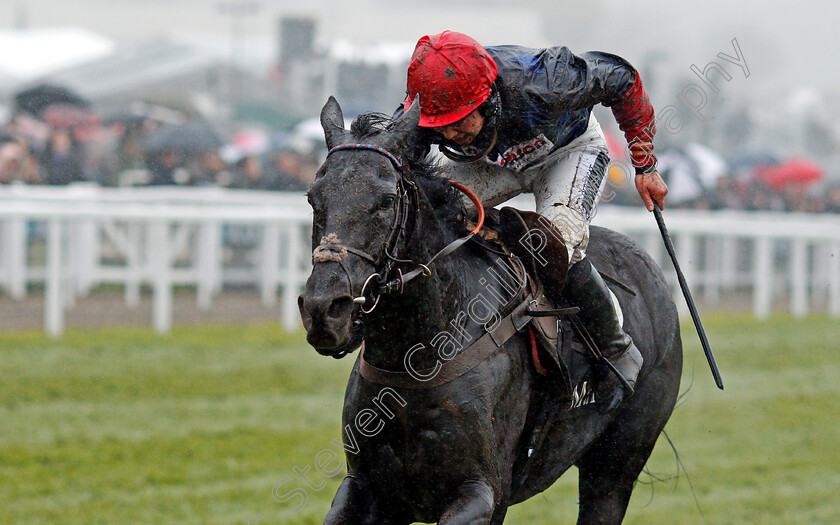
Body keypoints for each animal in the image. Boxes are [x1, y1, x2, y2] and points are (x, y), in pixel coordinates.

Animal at [298, 95, 684, 524]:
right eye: (313, 197)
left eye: (385, 200)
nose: (324, 310)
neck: (418, 356)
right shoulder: (370, 488)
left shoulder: (484, 491)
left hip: (615, 467)